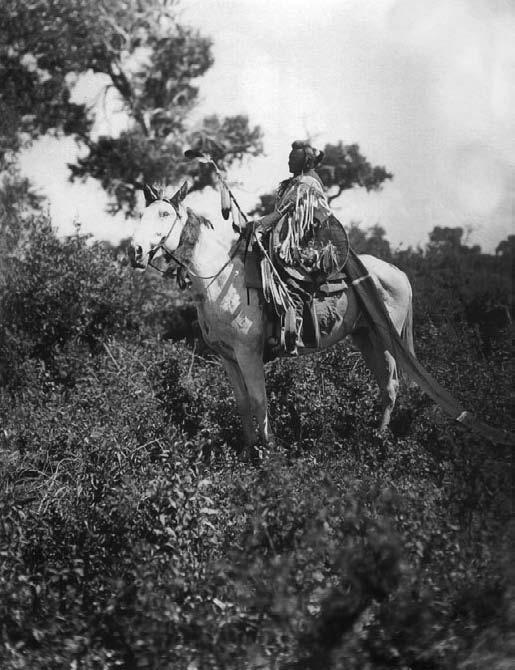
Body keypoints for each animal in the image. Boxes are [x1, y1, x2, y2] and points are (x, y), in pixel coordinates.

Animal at [128, 184, 416, 448]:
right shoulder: (227, 358)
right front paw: (248, 452)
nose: (136, 251)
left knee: (391, 385)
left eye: (165, 214)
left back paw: (379, 439)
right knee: (384, 384)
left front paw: (269, 452)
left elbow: (259, 401)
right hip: (364, 337)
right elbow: (243, 403)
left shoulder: (249, 354)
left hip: (383, 340)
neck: (219, 282)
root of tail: (398, 272)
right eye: (143, 214)